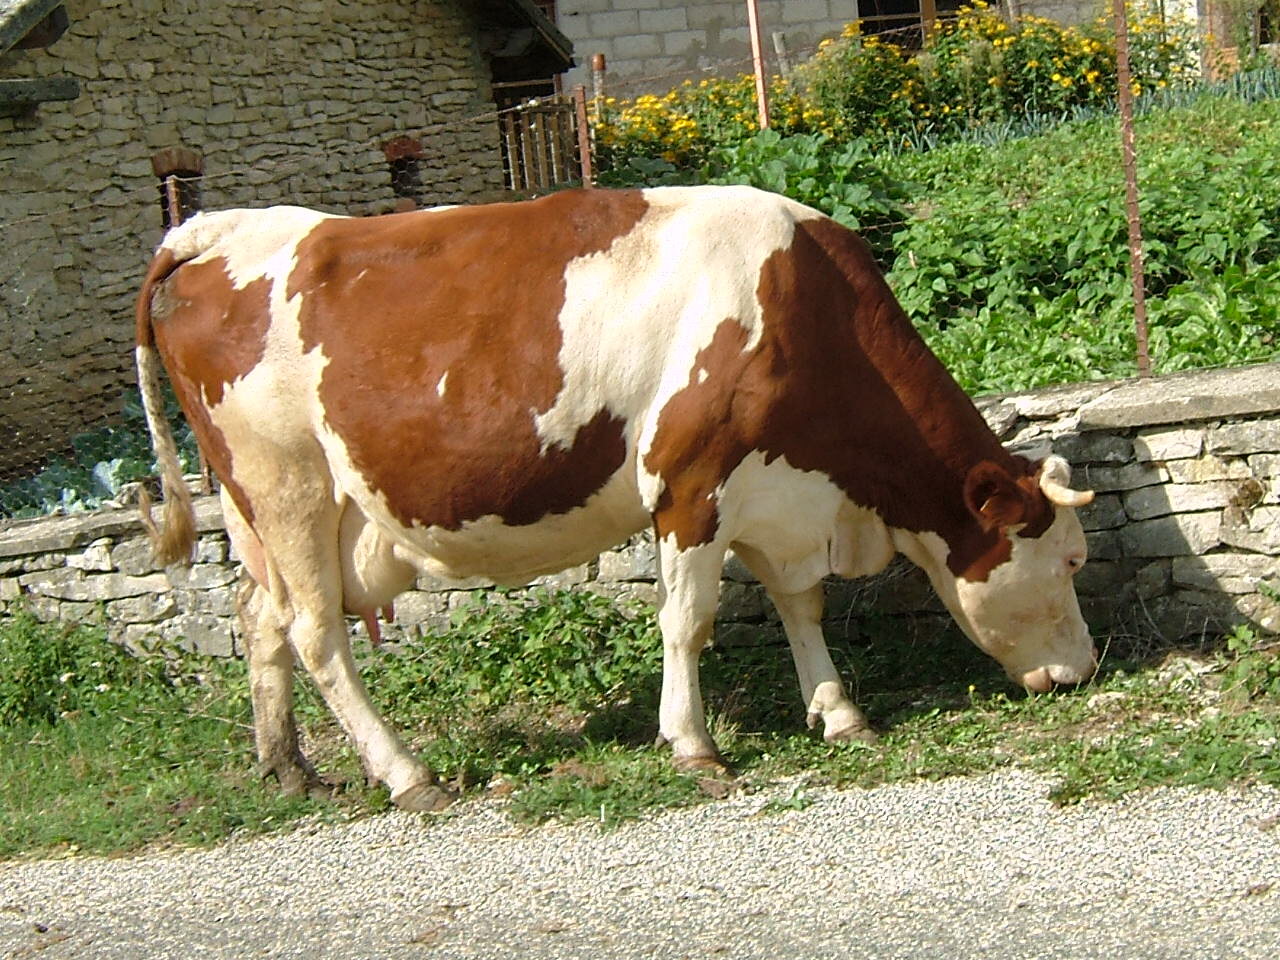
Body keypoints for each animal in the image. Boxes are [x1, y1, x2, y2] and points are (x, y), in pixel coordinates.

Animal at [137, 185, 1100, 814]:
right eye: (1069, 561)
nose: (1086, 671)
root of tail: (217, 227)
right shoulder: (692, 483)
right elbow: (687, 621)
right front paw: (696, 747)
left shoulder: (777, 497)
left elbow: (803, 605)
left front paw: (839, 713)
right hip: (288, 484)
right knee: (316, 634)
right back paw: (408, 776)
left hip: (260, 511)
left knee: (259, 616)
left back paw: (290, 770)